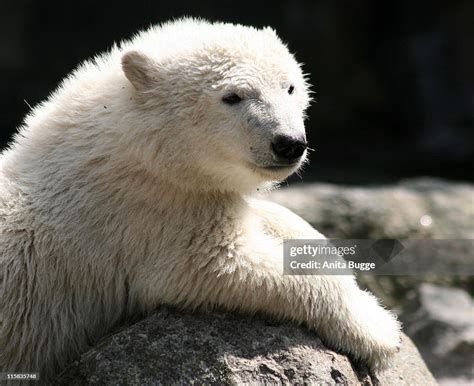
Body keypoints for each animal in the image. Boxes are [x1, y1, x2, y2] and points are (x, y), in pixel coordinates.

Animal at [0, 18, 400, 380]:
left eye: (290, 87)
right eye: (232, 96)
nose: (289, 143)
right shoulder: (145, 213)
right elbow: (218, 263)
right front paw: (378, 329)